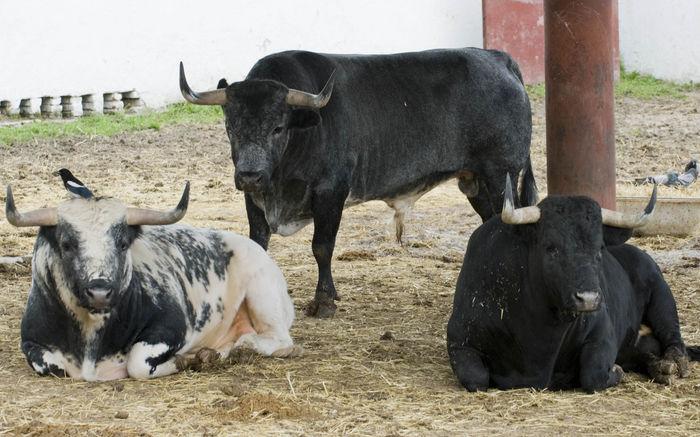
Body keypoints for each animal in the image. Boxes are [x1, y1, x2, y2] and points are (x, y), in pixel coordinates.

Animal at [4, 179, 298, 380]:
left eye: (123, 243)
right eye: (66, 244)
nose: (100, 292)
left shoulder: (172, 328)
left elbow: (138, 362)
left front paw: (187, 359)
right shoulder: (31, 343)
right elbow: (51, 366)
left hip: (263, 296)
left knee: (280, 341)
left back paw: (241, 347)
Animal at [180, 46, 536, 316]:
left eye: (277, 127)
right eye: (230, 127)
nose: (250, 174)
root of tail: (496, 58)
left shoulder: (330, 192)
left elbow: (322, 246)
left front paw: (324, 300)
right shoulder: (254, 198)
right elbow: (258, 243)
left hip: (500, 174)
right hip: (477, 182)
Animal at [448, 177, 700, 392]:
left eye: (599, 248)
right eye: (551, 247)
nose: (588, 299)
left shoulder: (602, 335)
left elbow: (593, 374)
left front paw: (615, 371)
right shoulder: (459, 342)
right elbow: (476, 378)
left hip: (662, 299)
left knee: (674, 339)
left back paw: (672, 363)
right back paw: (659, 368)